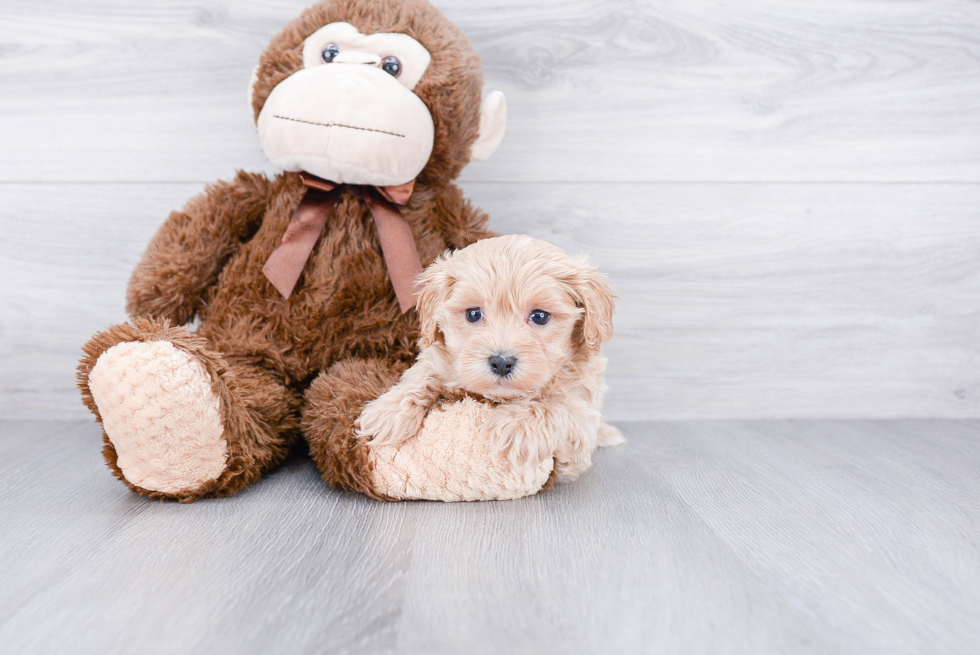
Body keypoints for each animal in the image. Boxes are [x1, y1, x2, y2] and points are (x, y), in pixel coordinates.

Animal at [356, 234, 624, 482]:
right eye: (474, 314)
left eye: (539, 316)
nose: (502, 362)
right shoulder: (441, 361)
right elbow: (423, 375)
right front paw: (389, 411)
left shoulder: (582, 418)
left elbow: (561, 407)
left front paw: (517, 426)